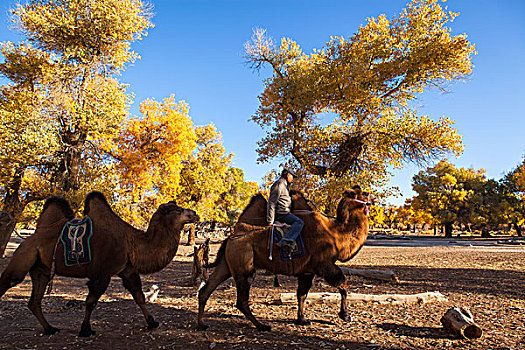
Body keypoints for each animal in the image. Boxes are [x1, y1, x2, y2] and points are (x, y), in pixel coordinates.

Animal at [0, 191, 199, 336]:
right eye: (178, 210)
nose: (195, 214)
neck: (132, 242)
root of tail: (30, 239)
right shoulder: (102, 273)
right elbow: (91, 301)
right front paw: (85, 330)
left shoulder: (127, 270)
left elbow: (139, 296)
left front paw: (152, 323)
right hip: (24, 255)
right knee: (9, 280)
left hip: (41, 269)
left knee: (34, 301)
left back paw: (50, 329)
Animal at [196, 186, 368, 330]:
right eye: (361, 194)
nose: (369, 195)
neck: (335, 234)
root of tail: (230, 238)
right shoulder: (323, 264)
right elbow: (343, 284)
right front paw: (345, 315)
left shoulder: (307, 271)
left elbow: (302, 294)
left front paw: (302, 320)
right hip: (244, 266)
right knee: (241, 299)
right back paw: (262, 326)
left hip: (227, 263)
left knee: (206, 290)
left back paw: (202, 324)